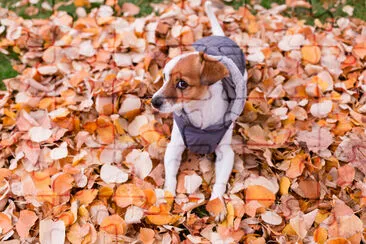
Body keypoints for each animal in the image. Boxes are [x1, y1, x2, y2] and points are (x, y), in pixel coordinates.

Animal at [150, 0, 247, 216]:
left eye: (182, 84)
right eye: (164, 77)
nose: (154, 101)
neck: (199, 110)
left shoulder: (226, 153)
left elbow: (220, 182)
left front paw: (217, 205)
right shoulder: (174, 147)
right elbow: (170, 178)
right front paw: (168, 198)